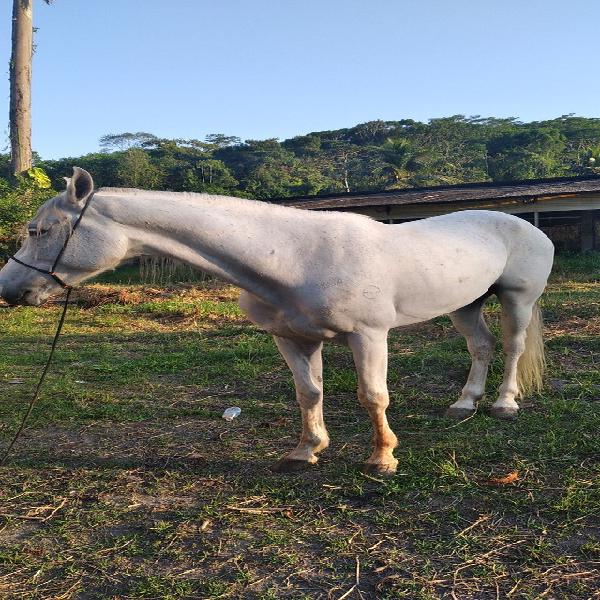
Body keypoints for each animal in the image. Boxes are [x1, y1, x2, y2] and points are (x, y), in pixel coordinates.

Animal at [0, 168, 552, 474]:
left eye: (41, 229)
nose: (9, 290)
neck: (293, 256)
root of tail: (527, 225)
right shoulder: (292, 339)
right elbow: (308, 394)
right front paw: (306, 451)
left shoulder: (368, 335)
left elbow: (373, 396)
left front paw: (382, 458)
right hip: (466, 304)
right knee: (480, 346)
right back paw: (464, 403)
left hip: (516, 301)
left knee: (512, 347)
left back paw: (503, 405)